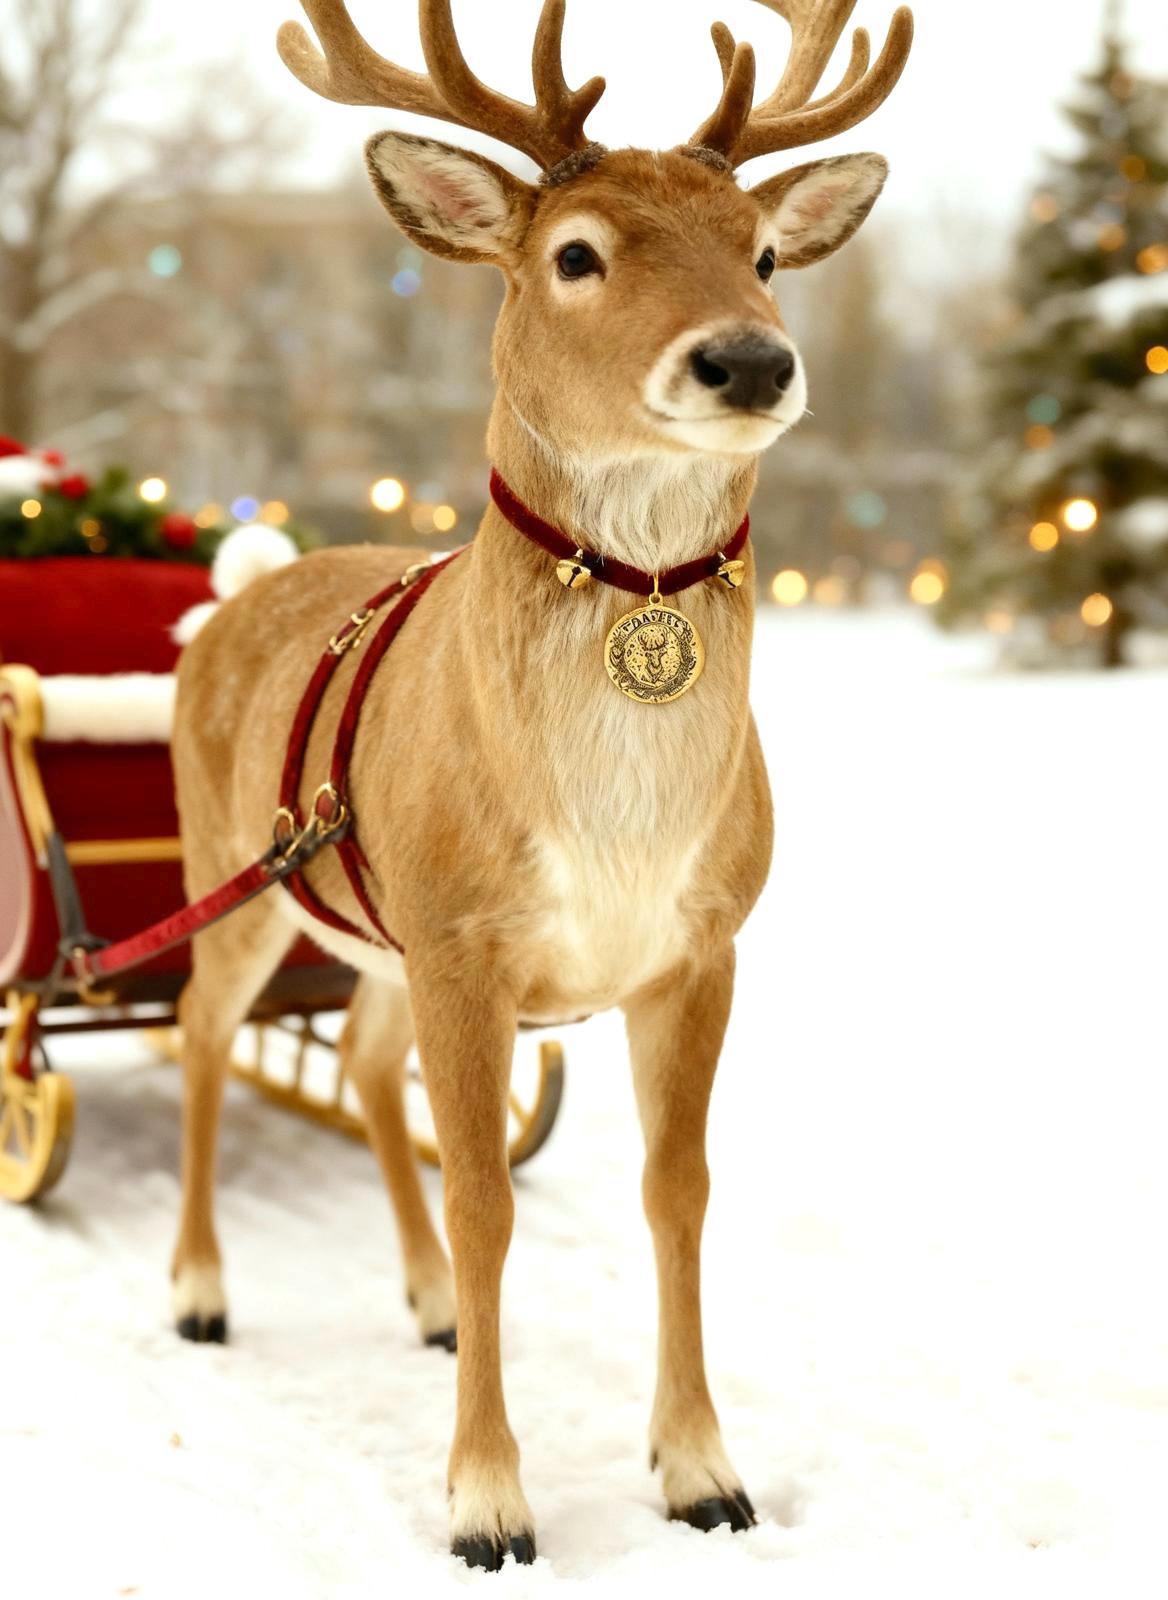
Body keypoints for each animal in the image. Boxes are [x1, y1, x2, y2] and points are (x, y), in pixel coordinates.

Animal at [168, 0, 913, 1569]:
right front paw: (487, 1503)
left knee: (364, 1069)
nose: (747, 362)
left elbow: (674, 1191)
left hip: (373, 926)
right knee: (205, 1032)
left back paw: (427, 1307)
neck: (618, 819)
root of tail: (239, 580)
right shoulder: (466, 940)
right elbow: (489, 1197)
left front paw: (703, 1473)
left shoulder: (698, 943)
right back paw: (199, 1291)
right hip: (235, 868)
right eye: (576, 253)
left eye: (763, 249)